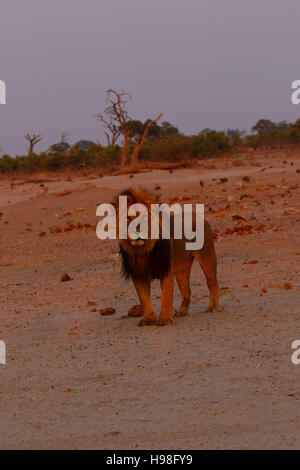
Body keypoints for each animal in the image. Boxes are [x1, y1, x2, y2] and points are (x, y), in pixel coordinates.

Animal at [113, 185, 219, 324]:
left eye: (143, 218)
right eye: (128, 218)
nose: (137, 231)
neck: (142, 250)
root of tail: (198, 216)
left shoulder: (166, 270)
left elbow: (166, 296)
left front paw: (165, 319)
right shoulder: (138, 274)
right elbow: (144, 299)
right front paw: (148, 319)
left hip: (207, 257)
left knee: (213, 282)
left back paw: (213, 307)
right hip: (181, 270)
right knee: (187, 290)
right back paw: (181, 312)